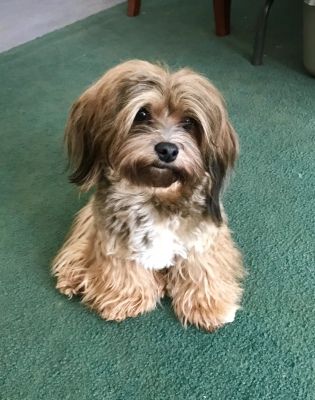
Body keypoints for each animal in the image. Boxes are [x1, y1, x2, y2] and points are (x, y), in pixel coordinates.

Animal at [52, 59, 244, 332]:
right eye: (142, 114)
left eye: (189, 122)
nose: (168, 150)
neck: (156, 193)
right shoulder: (116, 239)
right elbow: (123, 267)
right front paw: (125, 297)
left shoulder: (204, 238)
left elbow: (202, 268)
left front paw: (206, 305)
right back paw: (74, 274)